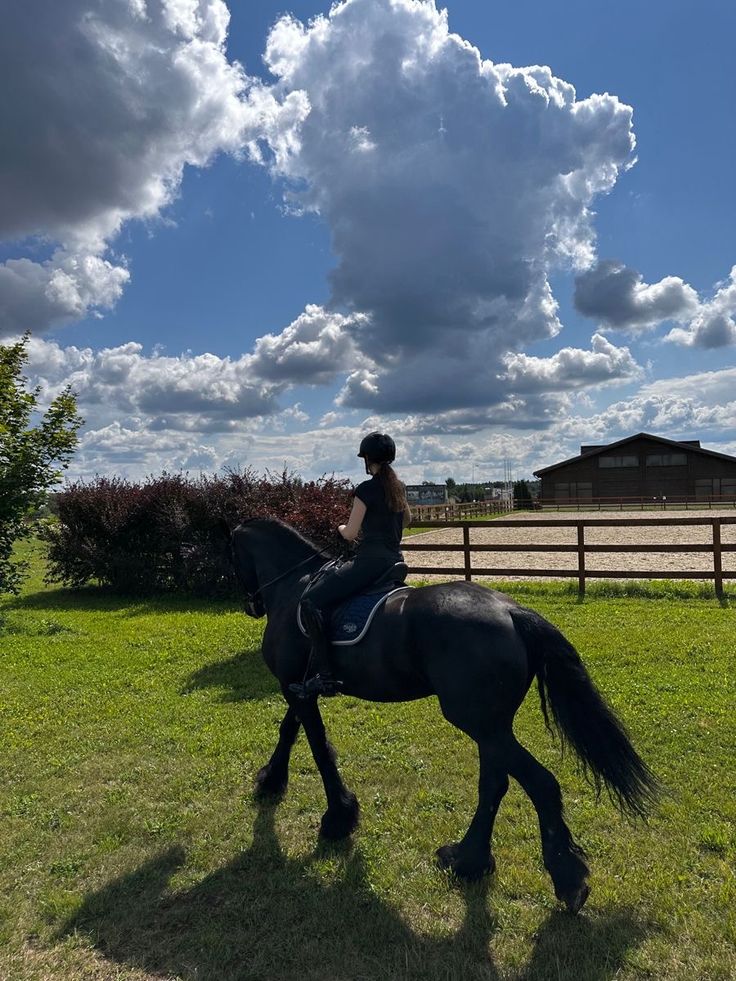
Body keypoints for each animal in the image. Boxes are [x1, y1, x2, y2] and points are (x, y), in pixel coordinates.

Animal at [227, 516, 660, 916]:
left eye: (233, 557)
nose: (250, 605)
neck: (293, 586)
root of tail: (511, 610)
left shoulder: (294, 687)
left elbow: (317, 747)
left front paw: (337, 818)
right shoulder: (297, 687)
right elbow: (289, 730)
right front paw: (271, 782)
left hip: (478, 722)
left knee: (540, 783)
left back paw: (566, 880)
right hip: (491, 725)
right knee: (495, 784)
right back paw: (468, 860)